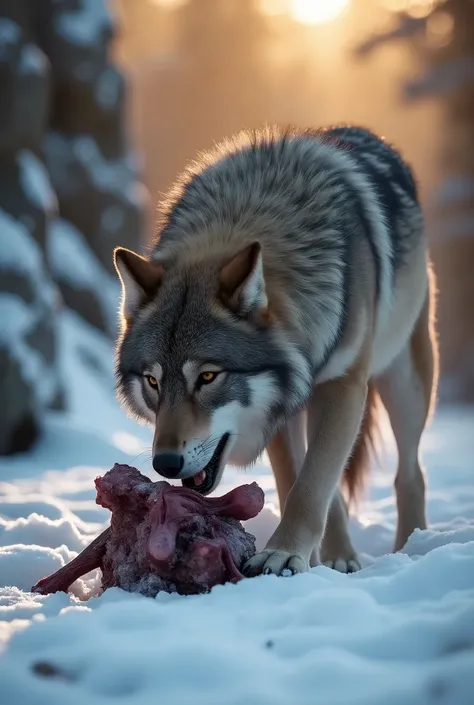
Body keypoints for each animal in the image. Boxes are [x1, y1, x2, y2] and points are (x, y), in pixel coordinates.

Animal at [113, 126, 438, 576]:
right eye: (152, 381)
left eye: (208, 377)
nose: (165, 464)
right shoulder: (283, 399)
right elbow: (299, 482)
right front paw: (311, 558)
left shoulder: (342, 386)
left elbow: (313, 484)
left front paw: (284, 555)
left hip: (405, 385)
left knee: (410, 472)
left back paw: (412, 547)